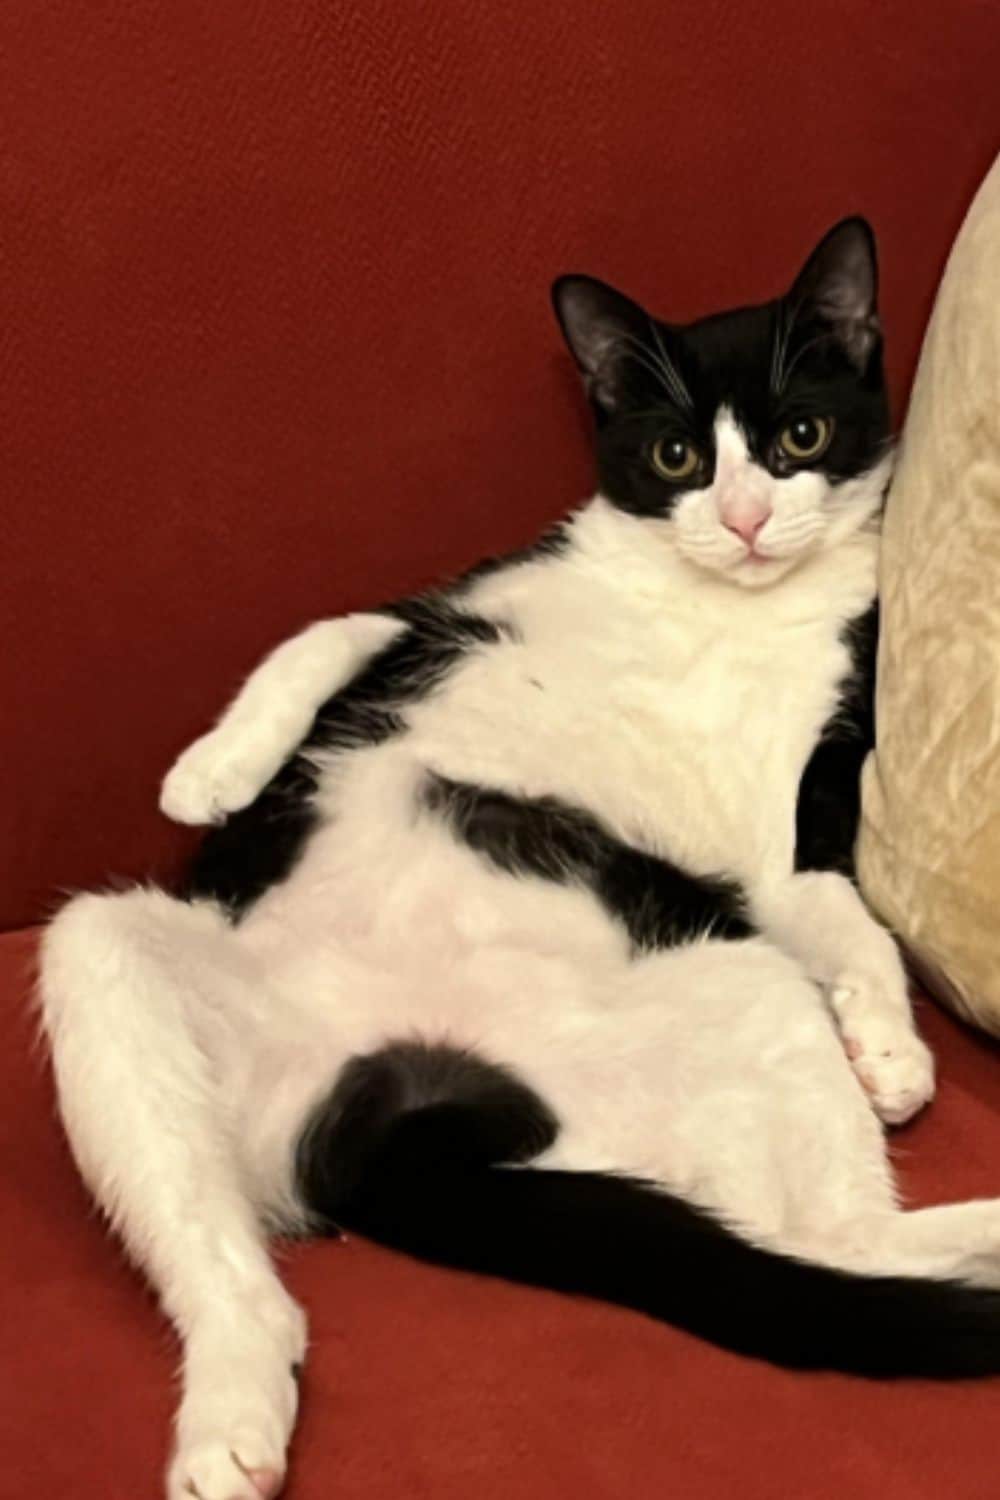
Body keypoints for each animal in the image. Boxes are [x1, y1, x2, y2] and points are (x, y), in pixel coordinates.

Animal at [35, 217, 1000, 1500]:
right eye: (677, 454)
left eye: (799, 435)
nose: (745, 520)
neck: (719, 605)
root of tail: (397, 1112)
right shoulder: (458, 603)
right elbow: (335, 626)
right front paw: (210, 774)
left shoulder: (794, 805)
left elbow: (839, 910)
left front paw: (888, 1049)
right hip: (109, 971)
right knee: (222, 1258)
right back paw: (229, 1419)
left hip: (731, 979)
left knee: (834, 1238)